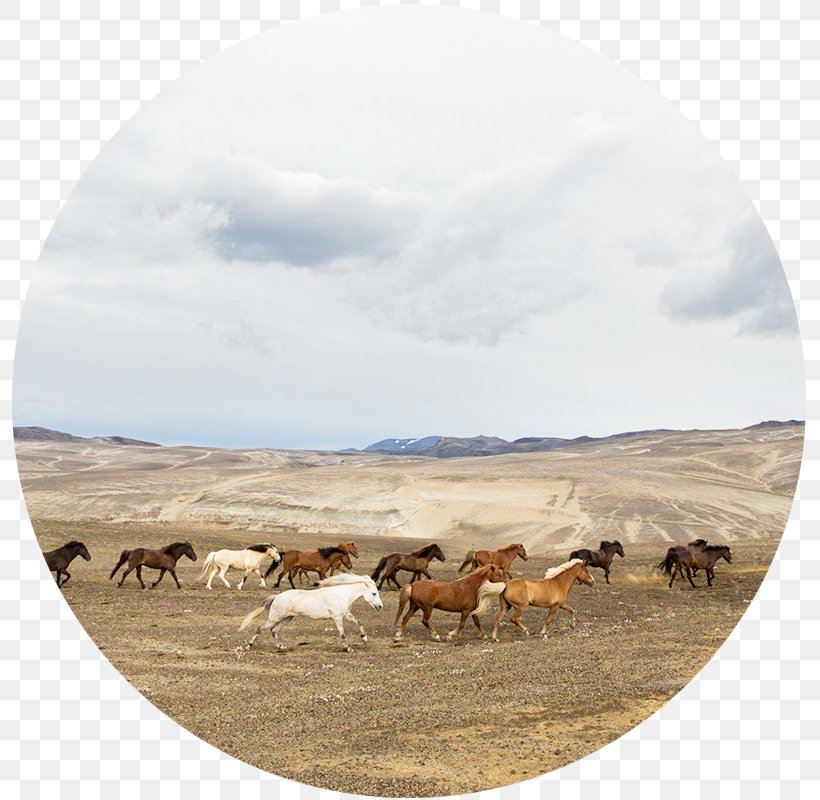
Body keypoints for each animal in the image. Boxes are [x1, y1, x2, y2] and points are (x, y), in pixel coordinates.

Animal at [237, 572, 384, 652]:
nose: (380, 606)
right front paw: (348, 649)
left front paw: (364, 639)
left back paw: (281, 647)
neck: (341, 595)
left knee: (274, 630)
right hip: (275, 618)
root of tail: (277, 597)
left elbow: (359, 621)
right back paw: (249, 646)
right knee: (260, 628)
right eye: (374, 593)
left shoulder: (346, 615)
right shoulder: (337, 618)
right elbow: (342, 634)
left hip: (287, 618)